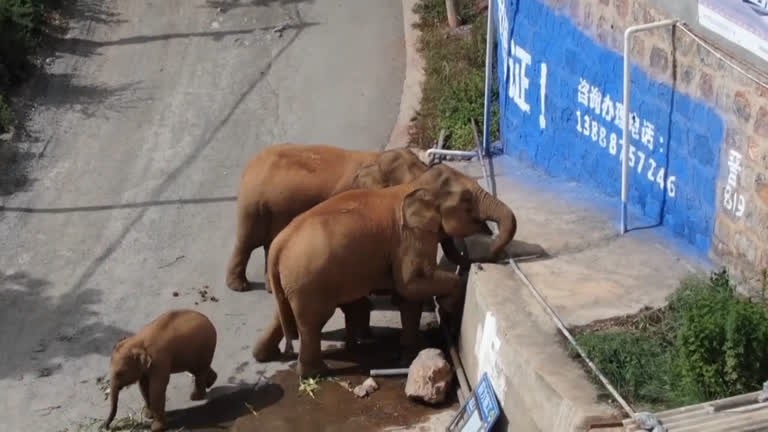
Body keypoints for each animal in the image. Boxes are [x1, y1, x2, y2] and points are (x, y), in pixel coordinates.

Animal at [224, 143, 477, 294]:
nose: (467, 268)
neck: (376, 158)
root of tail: (249, 167)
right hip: (252, 207)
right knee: (247, 242)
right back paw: (240, 287)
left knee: (268, 243)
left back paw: (268, 288)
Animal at [251, 163, 517, 378]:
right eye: (467, 201)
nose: (493, 255)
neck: (414, 185)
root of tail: (278, 245)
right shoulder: (411, 237)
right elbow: (410, 285)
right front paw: (447, 304)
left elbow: (410, 295)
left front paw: (409, 351)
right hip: (309, 281)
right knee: (311, 323)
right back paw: (316, 373)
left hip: (293, 281)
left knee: (284, 313)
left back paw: (264, 356)